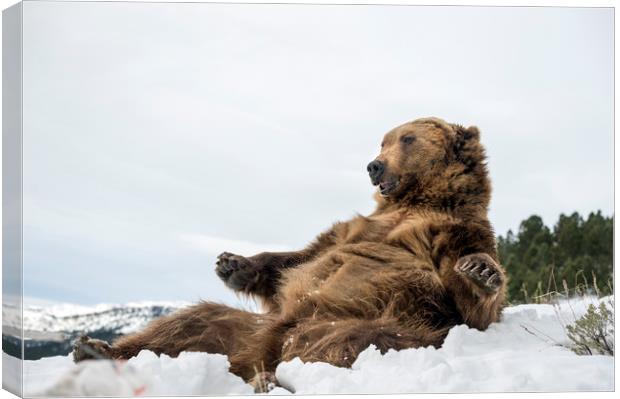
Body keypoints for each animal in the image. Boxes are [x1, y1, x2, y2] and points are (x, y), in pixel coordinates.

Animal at [75, 116, 506, 394]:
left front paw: (480, 271)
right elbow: (300, 257)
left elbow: (468, 303)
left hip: (359, 320)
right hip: (244, 329)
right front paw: (233, 263)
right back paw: (97, 349)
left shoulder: (454, 231)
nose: (373, 165)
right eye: (383, 140)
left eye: (407, 139)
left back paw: (271, 381)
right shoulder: (355, 228)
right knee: (190, 323)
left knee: (351, 341)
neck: (417, 200)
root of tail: (262, 349)